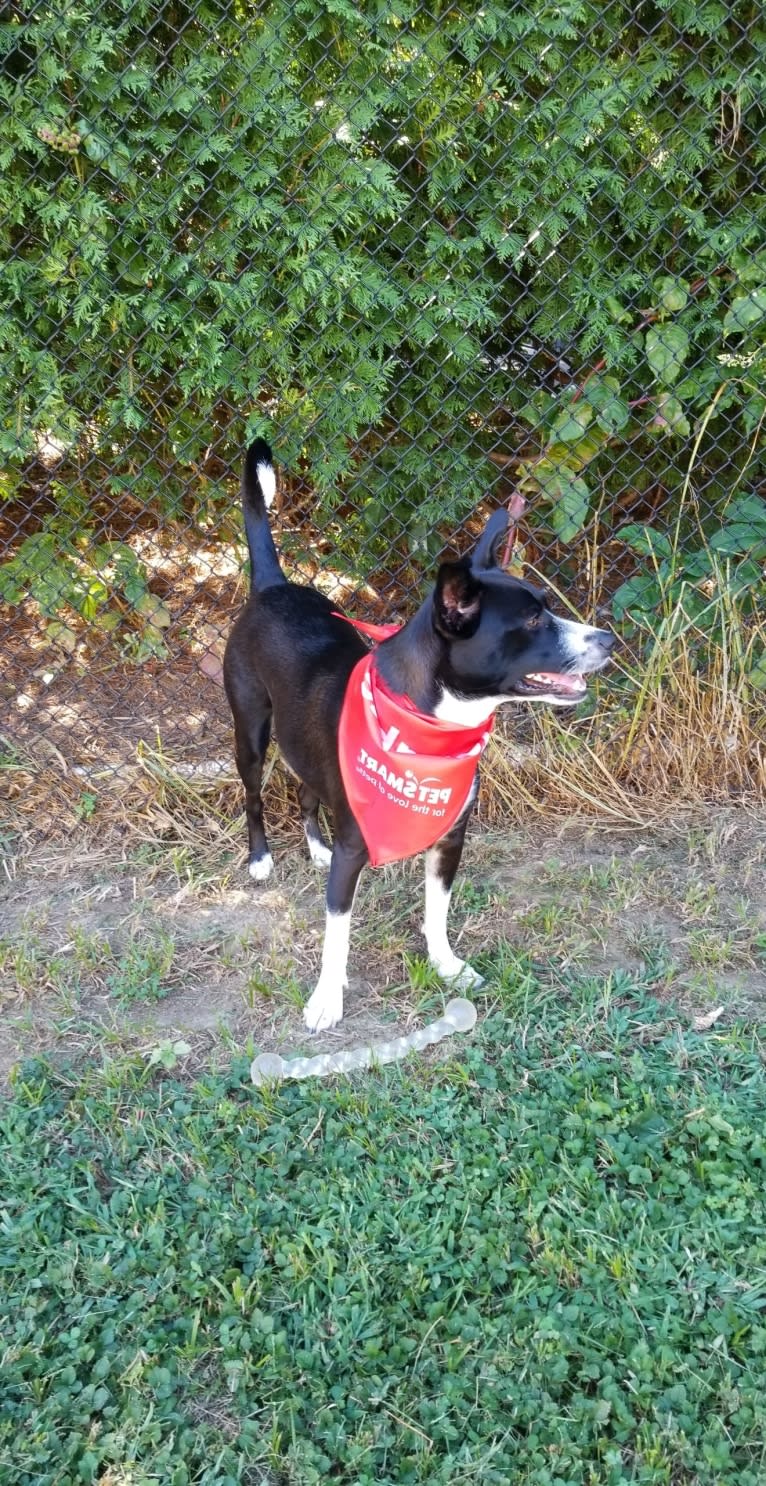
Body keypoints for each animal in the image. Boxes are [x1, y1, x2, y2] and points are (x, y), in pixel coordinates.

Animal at [224, 433, 615, 1028]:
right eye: (531, 622)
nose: (608, 639)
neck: (431, 725)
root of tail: (272, 587)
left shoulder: (450, 839)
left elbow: (437, 912)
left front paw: (446, 967)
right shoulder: (355, 850)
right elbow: (336, 936)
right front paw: (326, 999)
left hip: (302, 738)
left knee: (306, 789)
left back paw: (314, 847)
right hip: (251, 731)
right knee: (253, 794)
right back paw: (261, 858)